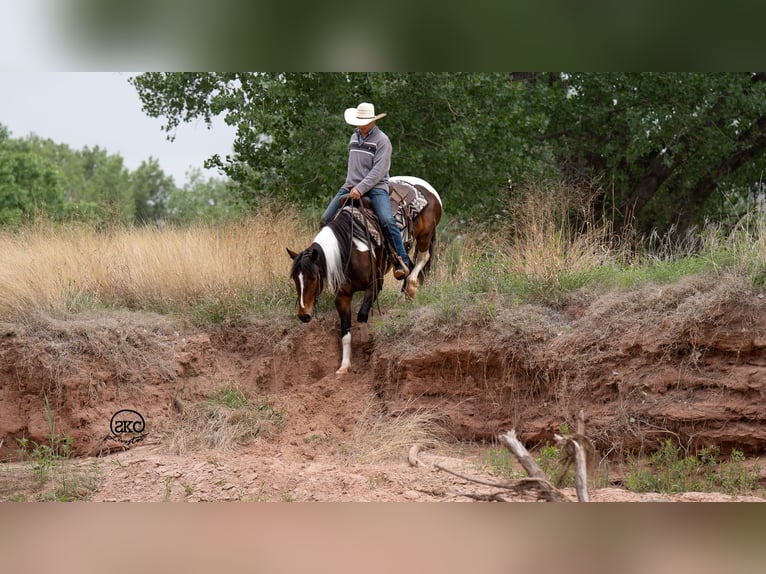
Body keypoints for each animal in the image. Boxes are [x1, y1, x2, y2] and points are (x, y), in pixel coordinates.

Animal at [288, 176, 444, 376]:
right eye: (295, 279)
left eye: (313, 278)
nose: (303, 315)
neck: (348, 250)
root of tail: (426, 186)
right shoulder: (342, 296)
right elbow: (345, 332)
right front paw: (344, 365)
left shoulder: (375, 285)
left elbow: (362, 315)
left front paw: (364, 339)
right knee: (407, 264)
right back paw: (402, 297)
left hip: (425, 235)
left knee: (422, 259)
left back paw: (411, 288)